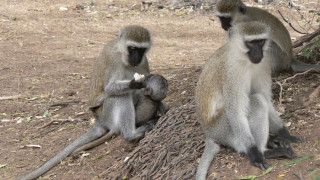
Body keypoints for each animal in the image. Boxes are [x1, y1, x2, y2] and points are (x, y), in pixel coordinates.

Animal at [17, 24, 169, 179]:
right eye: (132, 48)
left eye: (141, 50)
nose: (136, 58)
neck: (123, 56)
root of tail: (99, 121)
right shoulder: (113, 60)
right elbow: (109, 88)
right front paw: (136, 83)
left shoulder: (144, 61)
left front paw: (163, 105)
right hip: (105, 114)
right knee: (120, 96)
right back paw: (132, 133)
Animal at [194, 21, 302, 180]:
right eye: (250, 43)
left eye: (260, 41)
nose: (258, 53)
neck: (244, 59)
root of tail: (209, 133)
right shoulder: (232, 72)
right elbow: (236, 110)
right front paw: (255, 154)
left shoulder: (265, 62)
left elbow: (267, 99)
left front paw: (285, 134)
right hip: (222, 129)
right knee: (257, 102)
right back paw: (264, 151)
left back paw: (272, 141)